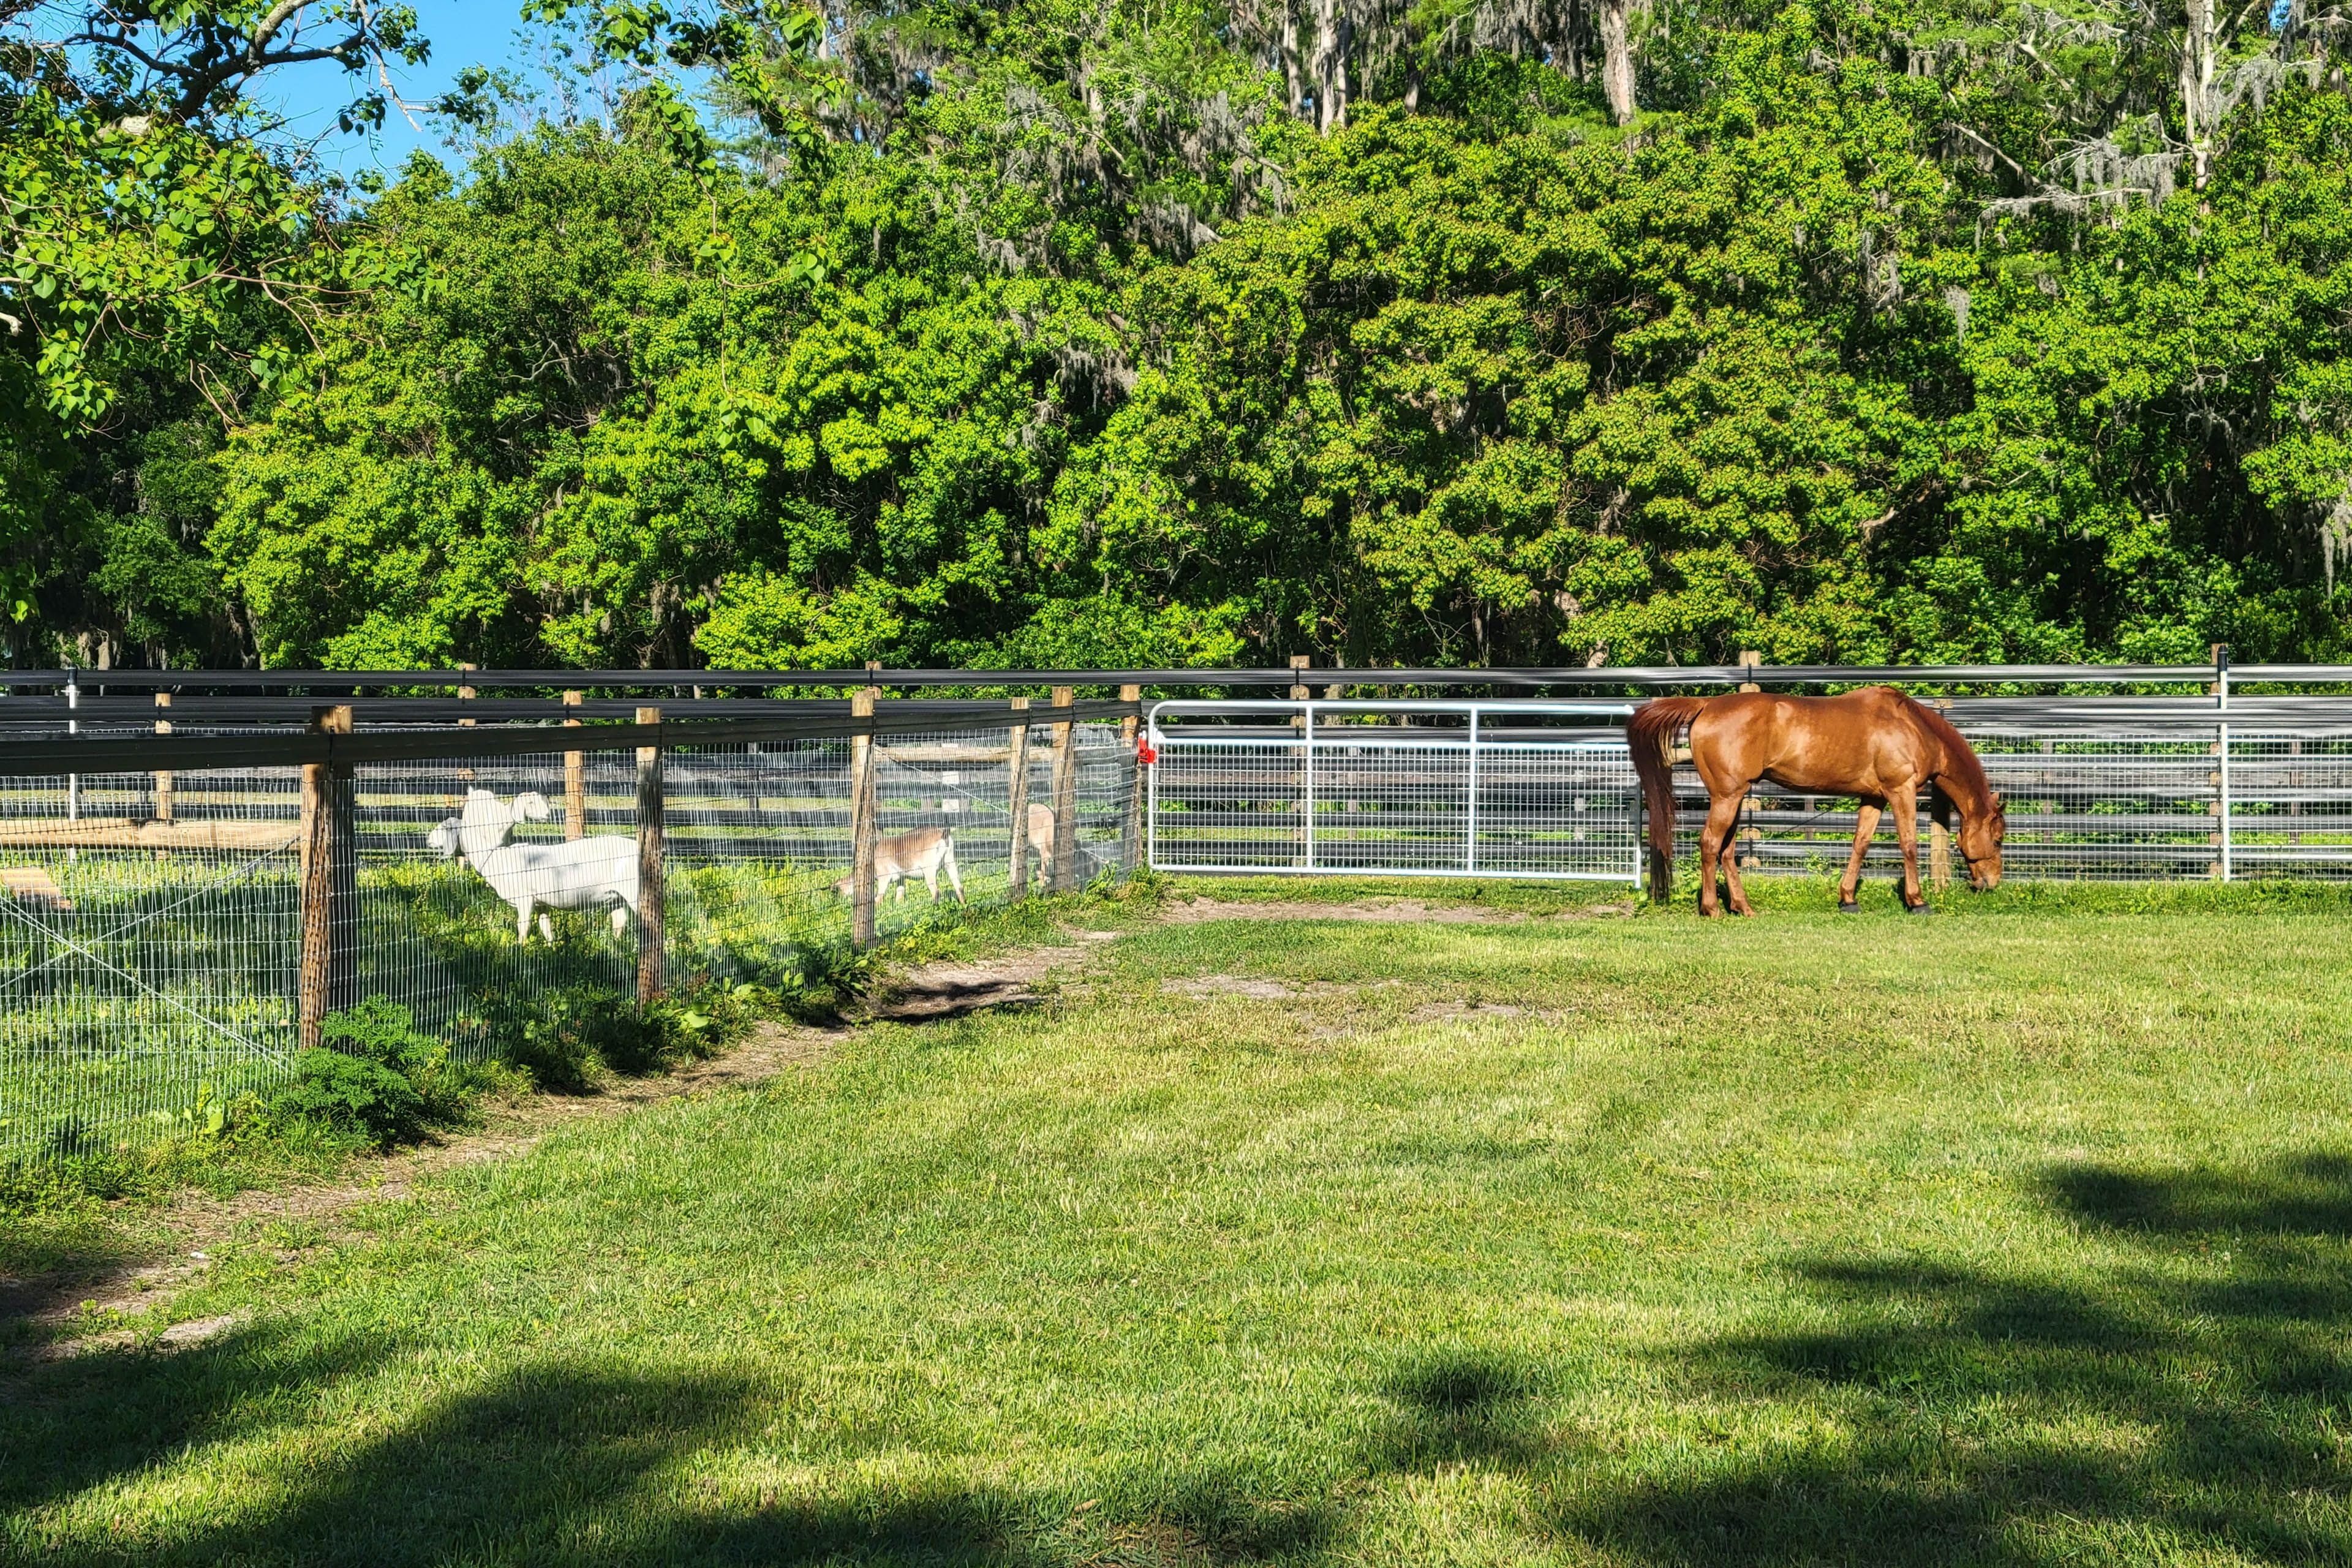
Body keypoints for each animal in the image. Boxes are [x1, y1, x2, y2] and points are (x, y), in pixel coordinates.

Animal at [1627, 687, 2005, 917]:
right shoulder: (1901, 790)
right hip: (1727, 797)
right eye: (2000, 839)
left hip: (1733, 798)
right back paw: (1712, 908)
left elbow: (1860, 845)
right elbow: (1909, 844)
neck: (1912, 726)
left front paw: (1848, 898)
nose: (1990, 884)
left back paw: (1743, 907)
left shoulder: (1873, 798)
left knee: (1726, 850)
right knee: (1709, 844)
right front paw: (1917, 901)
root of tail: (1706, 705)